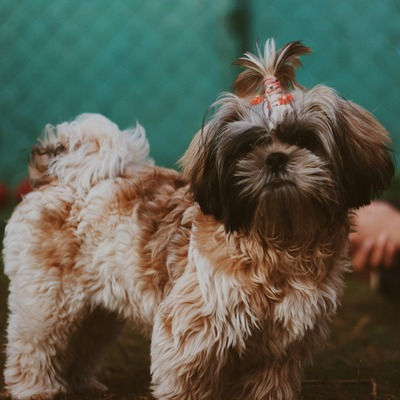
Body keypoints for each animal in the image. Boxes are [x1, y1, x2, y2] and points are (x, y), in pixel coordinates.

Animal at [2, 41, 394, 400]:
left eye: (305, 139)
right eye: (248, 147)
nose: (276, 158)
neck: (280, 237)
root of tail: (59, 176)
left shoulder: (279, 351)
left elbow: (268, 385)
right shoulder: (192, 337)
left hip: (96, 308)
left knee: (83, 345)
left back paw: (82, 383)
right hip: (48, 302)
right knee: (34, 348)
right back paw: (36, 389)